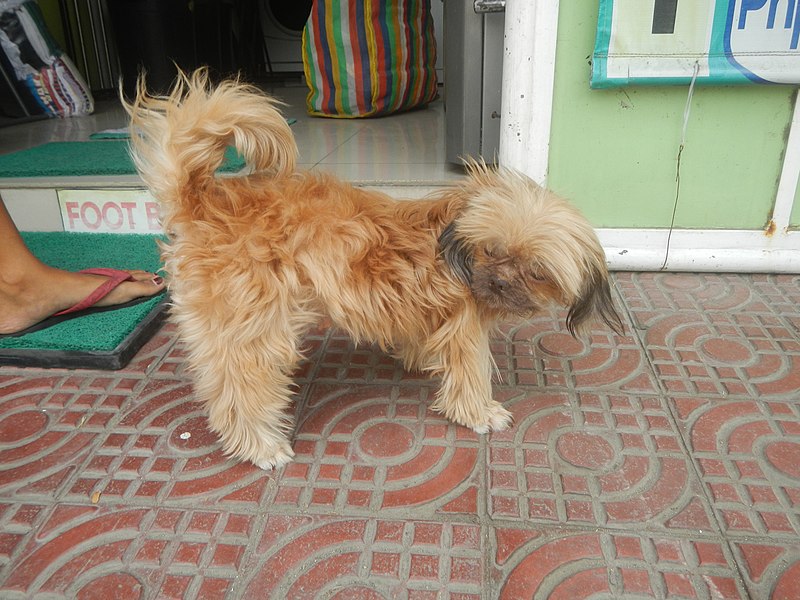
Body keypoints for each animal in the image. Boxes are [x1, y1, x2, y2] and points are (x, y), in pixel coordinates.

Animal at [125, 70, 624, 472]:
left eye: (537, 271)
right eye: (490, 250)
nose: (499, 281)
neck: (454, 242)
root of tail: (202, 199)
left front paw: (417, 356)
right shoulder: (463, 326)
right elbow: (470, 372)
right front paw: (480, 412)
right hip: (257, 330)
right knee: (240, 395)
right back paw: (261, 445)